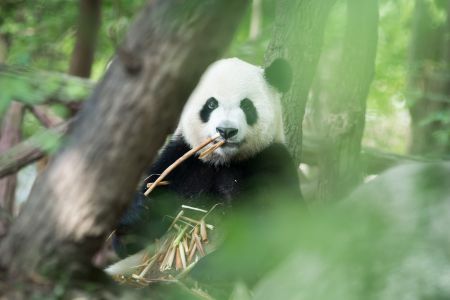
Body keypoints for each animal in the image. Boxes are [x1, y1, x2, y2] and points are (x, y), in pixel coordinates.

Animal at [110, 58, 300, 264]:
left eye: (247, 106)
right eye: (211, 104)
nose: (226, 131)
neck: (223, 162)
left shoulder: (270, 162)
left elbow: (270, 232)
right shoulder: (182, 162)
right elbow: (138, 238)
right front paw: (134, 215)